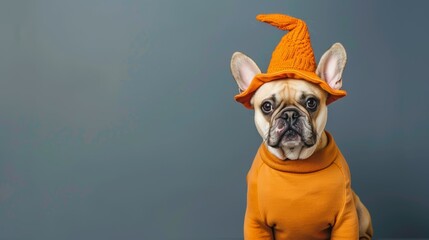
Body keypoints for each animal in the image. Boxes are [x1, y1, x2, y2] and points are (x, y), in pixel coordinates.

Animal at [229, 14, 372, 239]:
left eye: (311, 102)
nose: (289, 114)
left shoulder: (346, 218)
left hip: (360, 210)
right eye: (267, 106)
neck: (295, 162)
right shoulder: (255, 221)